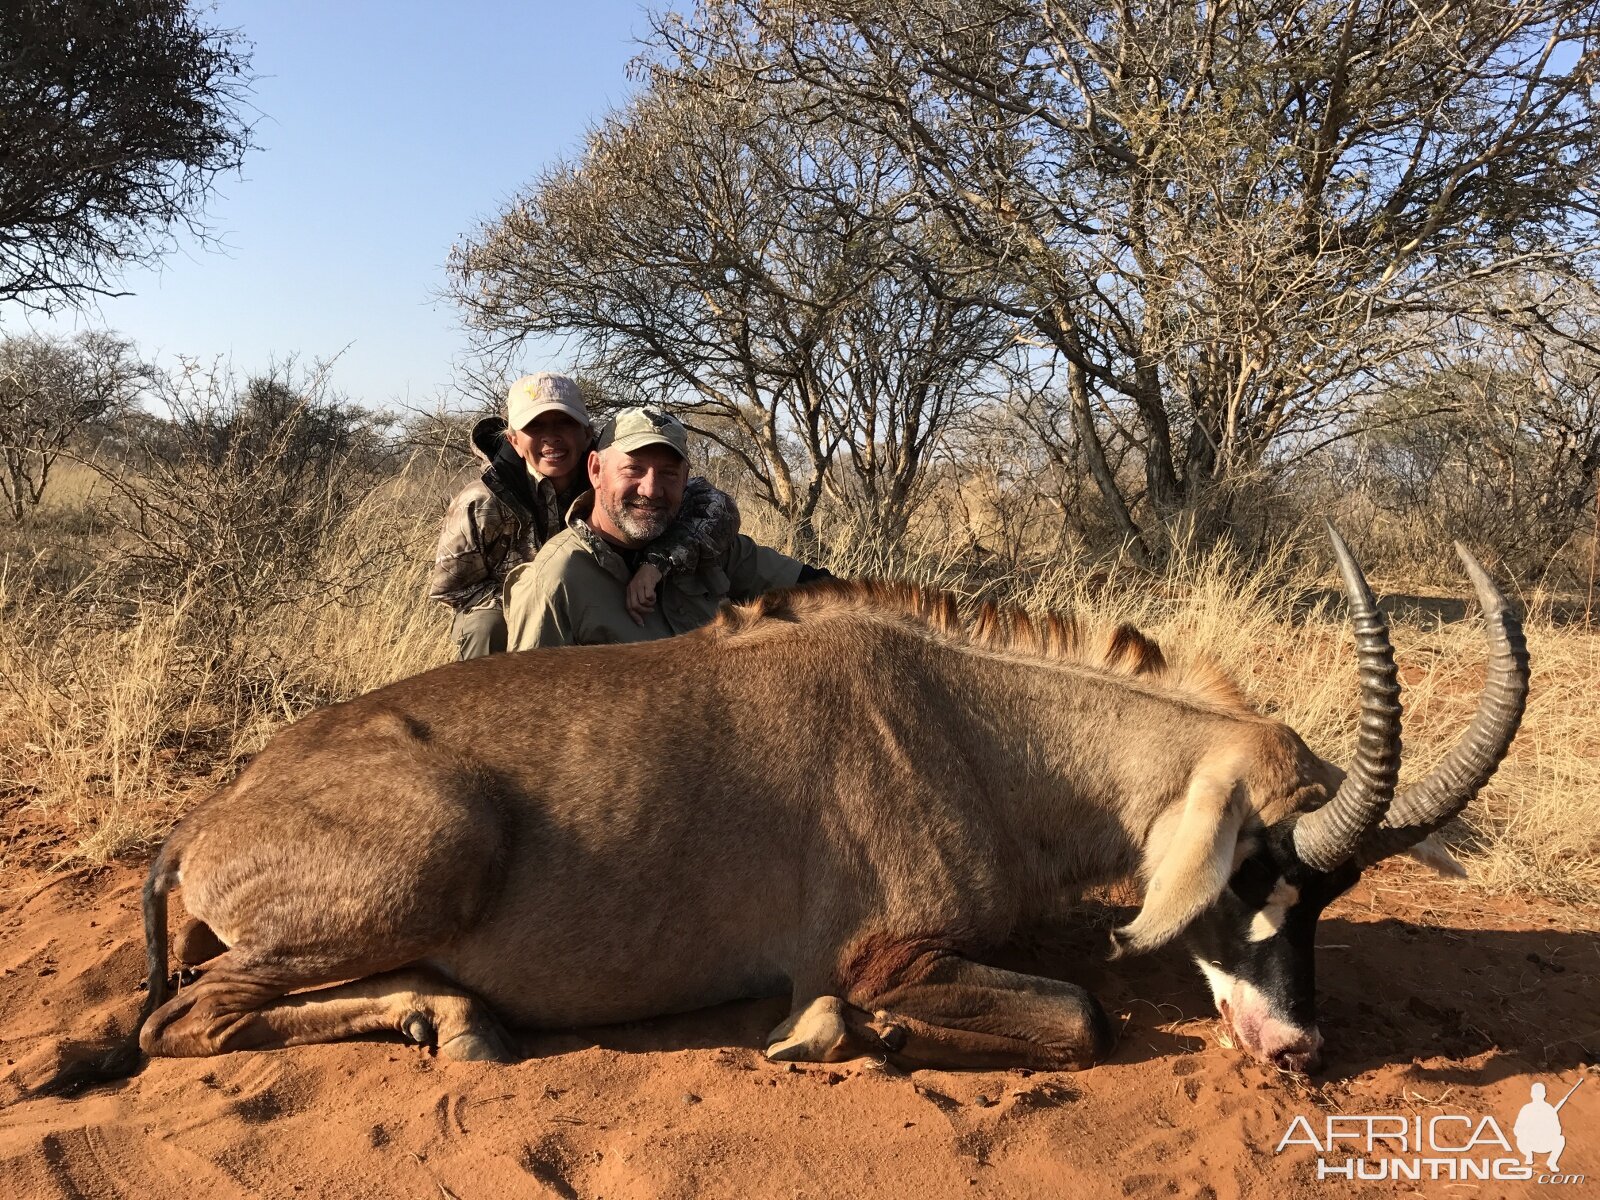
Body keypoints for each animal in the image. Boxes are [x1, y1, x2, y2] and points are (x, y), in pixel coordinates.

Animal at [46, 524, 1523, 1088]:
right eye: (1254, 868)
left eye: (1327, 891)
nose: (1296, 1048)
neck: (975, 724)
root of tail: (203, 823)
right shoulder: (883, 952)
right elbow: (1080, 1014)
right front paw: (826, 1036)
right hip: (432, 853)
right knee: (184, 1021)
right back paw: (447, 1021)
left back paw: (440, 1014)